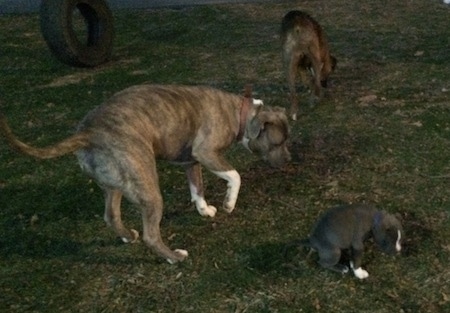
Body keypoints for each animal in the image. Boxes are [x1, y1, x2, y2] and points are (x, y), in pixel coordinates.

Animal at [0, 83, 292, 264]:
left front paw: (204, 210)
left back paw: (128, 236)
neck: (239, 112)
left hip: (115, 185)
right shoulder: (206, 152)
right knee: (151, 235)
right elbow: (234, 175)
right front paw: (229, 203)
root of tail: (88, 133)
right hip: (149, 188)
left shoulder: (191, 161)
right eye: (278, 143)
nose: (290, 159)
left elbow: (196, 188)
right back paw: (174, 257)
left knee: (111, 216)